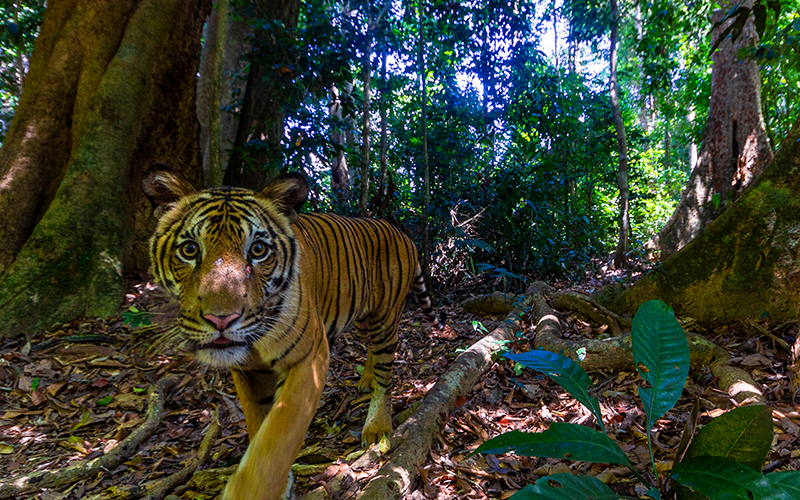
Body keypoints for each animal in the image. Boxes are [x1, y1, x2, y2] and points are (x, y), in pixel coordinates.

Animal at [141, 164, 445, 500]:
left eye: (258, 250)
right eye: (189, 249)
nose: (221, 319)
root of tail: (401, 232)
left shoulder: (308, 358)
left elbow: (277, 437)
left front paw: (253, 490)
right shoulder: (246, 371)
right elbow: (257, 425)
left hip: (384, 318)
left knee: (385, 374)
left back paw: (377, 427)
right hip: (362, 317)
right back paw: (365, 379)